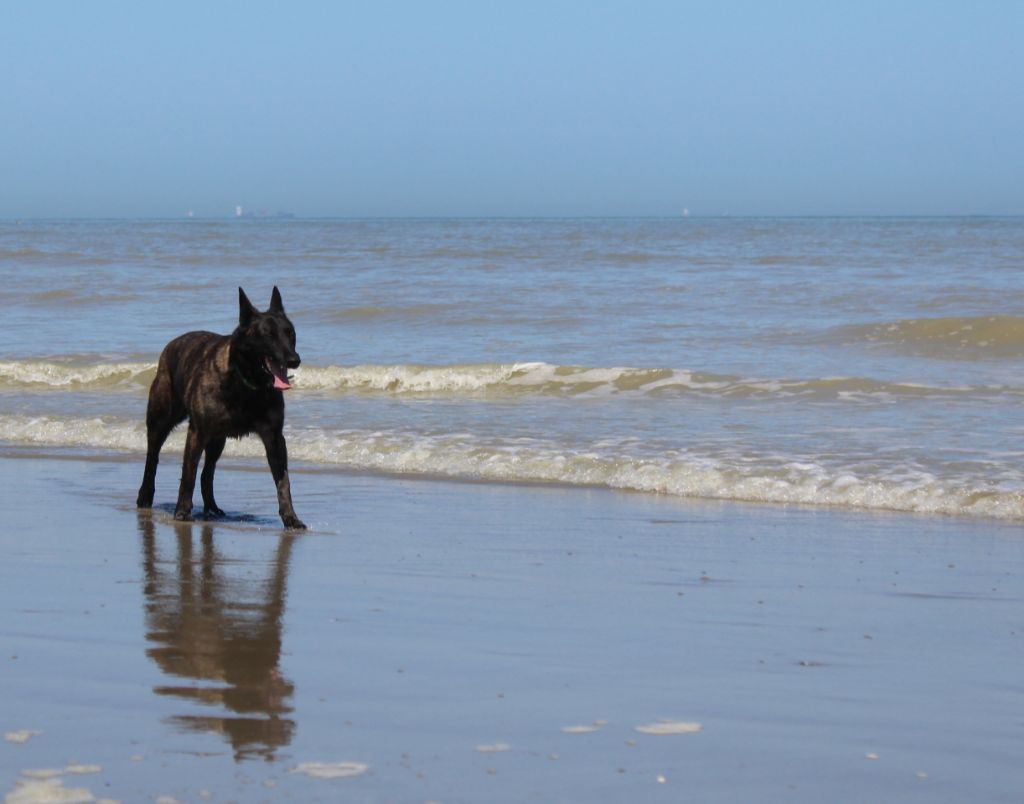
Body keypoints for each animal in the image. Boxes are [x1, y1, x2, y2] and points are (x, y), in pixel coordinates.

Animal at [136, 286, 306, 529]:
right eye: (268, 335)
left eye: (290, 333)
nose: (294, 359)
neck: (247, 383)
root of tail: (171, 345)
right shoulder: (197, 433)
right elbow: (188, 474)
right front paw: (182, 512)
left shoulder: (274, 439)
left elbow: (283, 481)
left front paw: (291, 517)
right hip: (160, 422)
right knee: (153, 459)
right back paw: (145, 497)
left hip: (217, 440)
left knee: (207, 473)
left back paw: (212, 508)